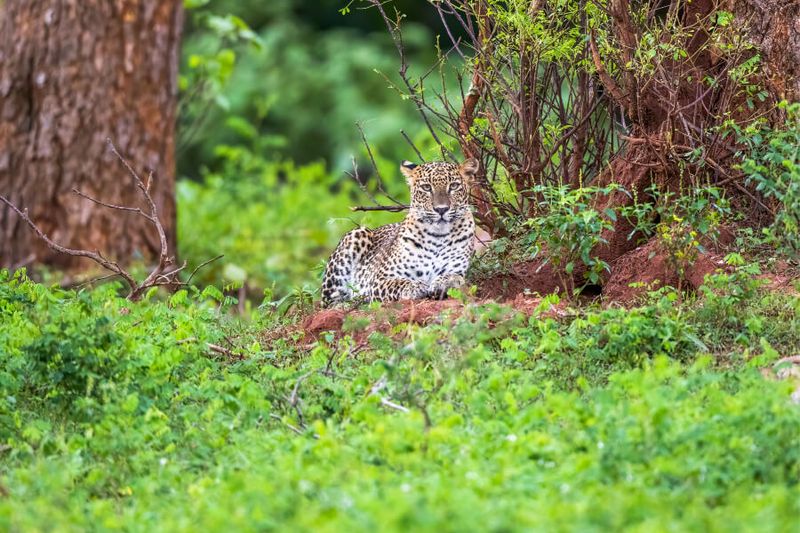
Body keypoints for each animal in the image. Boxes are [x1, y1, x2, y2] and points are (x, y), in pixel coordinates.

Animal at [322, 158, 478, 306]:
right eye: (426, 187)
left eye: (454, 186)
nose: (441, 209)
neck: (437, 236)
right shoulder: (379, 280)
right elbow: (399, 282)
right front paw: (416, 287)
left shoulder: (456, 269)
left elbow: (453, 277)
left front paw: (442, 283)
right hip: (356, 235)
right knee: (330, 301)